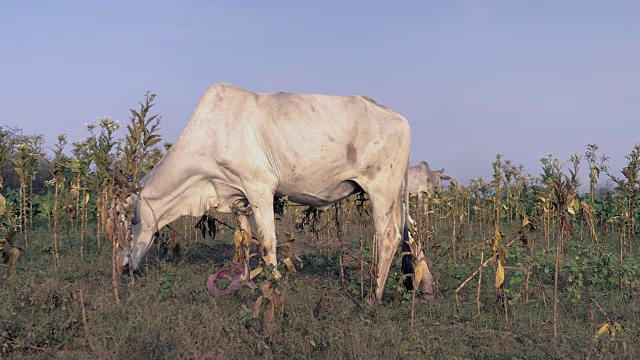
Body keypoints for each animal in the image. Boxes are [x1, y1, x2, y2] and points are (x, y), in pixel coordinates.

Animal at [116, 83, 436, 302]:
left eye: (128, 223)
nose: (121, 268)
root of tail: (398, 118)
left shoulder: (259, 187)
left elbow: (267, 241)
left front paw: (274, 283)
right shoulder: (237, 196)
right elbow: (244, 240)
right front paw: (244, 279)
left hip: (381, 188)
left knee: (389, 235)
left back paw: (374, 295)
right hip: (398, 192)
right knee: (411, 231)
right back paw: (425, 286)